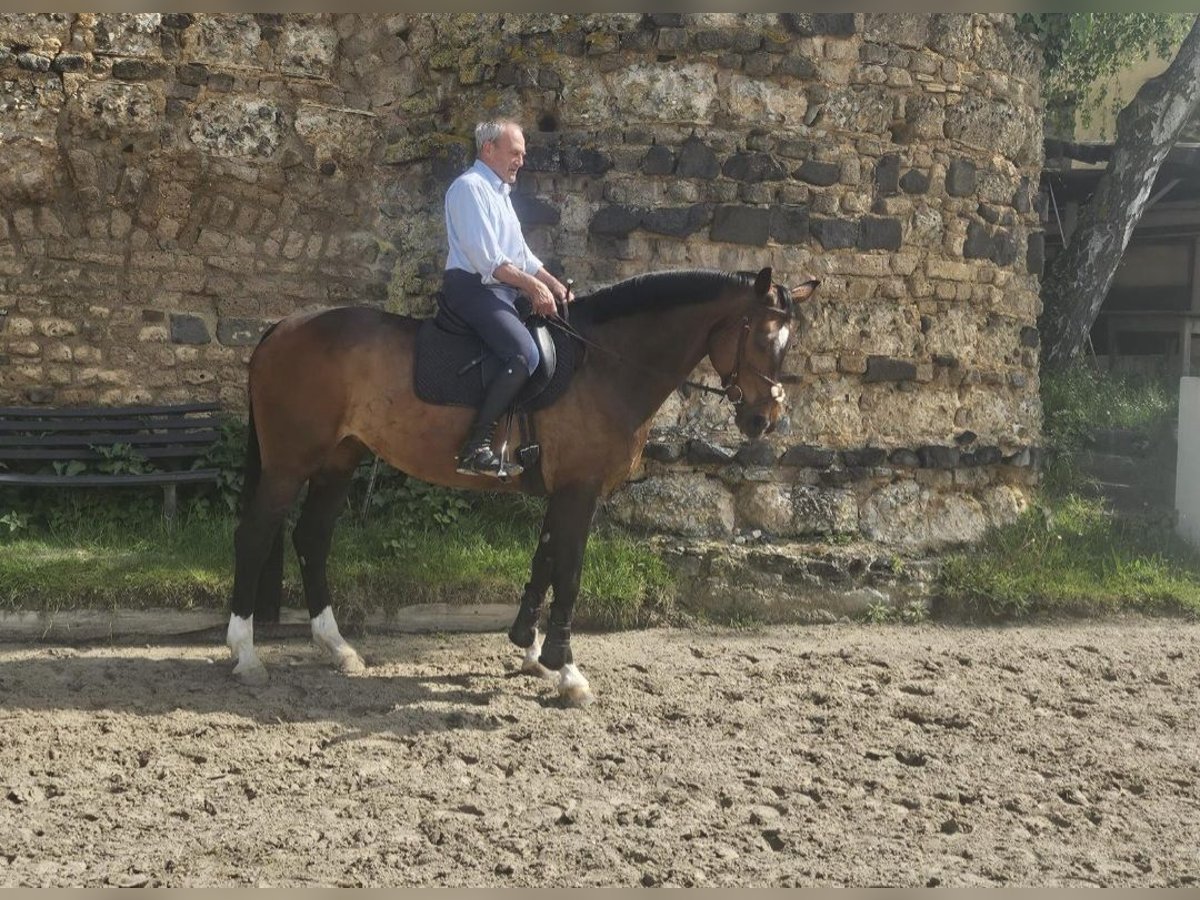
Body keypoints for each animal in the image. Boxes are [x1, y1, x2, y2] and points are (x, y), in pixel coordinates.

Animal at [226, 266, 816, 705]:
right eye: (763, 337)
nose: (764, 420)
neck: (604, 366)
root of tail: (282, 327)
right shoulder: (580, 490)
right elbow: (570, 571)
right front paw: (567, 671)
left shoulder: (563, 491)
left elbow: (544, 559)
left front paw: (531, 651)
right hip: (290, 463)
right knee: (254, 537)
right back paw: (246, 654)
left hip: (338, 460)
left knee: (311, 539)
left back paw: (336, 647)